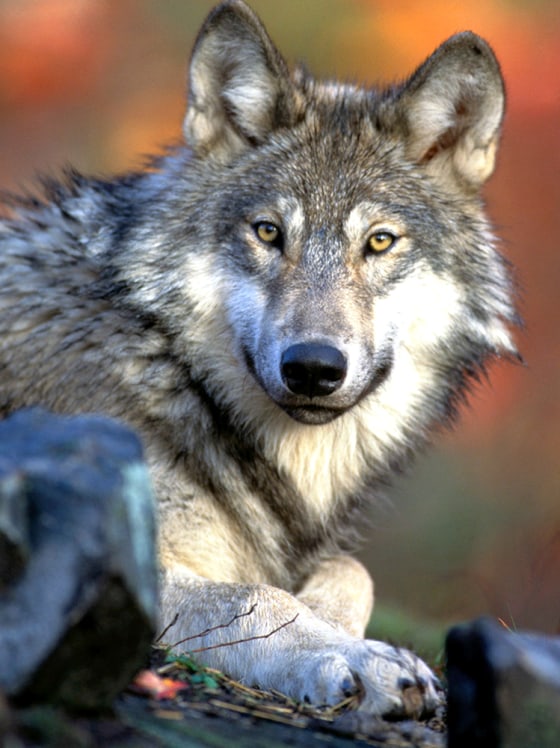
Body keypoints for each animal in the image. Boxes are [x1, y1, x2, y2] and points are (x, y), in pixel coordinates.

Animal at [0, 0, 518, 717]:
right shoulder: (111, 559)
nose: (313, 367)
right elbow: (256, 596)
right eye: (269, 233)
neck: (169, 368)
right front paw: (356, 658)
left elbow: (352, 571)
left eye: (379, 242)